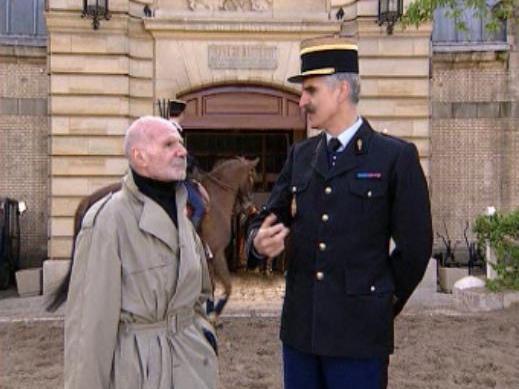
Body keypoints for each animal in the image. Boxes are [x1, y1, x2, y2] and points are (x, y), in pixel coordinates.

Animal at [46, 157, 260, 316]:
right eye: (251, 177)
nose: (249, 206)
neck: (215, 199)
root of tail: (89, 199)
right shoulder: (216, 252)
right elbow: (225, 287)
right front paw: (212, 316)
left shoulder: (209, 257)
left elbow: (213, 288)